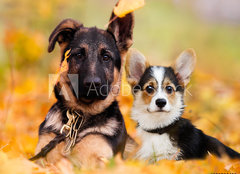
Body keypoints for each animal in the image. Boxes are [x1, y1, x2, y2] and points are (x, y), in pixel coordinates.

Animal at [33, 10, 135, 167]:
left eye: (106, 57)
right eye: (79, 55)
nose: (92, 84)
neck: (80, 119)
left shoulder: (100, 158)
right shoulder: (42, 153)